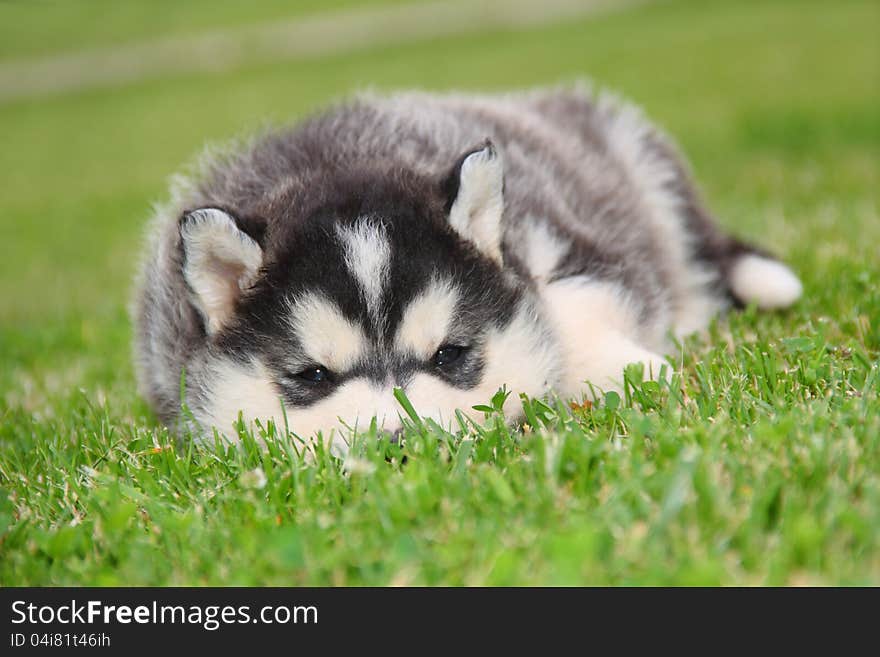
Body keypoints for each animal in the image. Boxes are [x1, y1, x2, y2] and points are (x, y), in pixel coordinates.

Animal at [132, 87, 804, 444]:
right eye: (314, 375)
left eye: (449, 355)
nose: (400, 445)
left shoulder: (567, 243)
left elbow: (571, 308)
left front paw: (632, 371)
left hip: (640, 165)